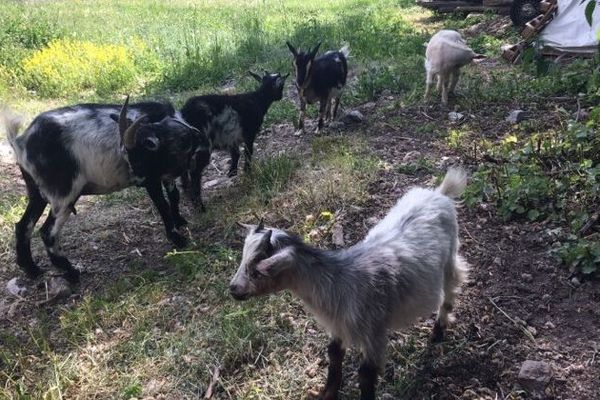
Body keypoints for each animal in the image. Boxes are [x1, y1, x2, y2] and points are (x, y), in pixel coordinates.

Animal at [3, 97, 207, 282]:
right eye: (138, 158)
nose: (138, 180)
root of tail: (21, 143)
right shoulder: (153, 179)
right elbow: (163, 205)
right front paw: (177, 238)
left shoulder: (166, 174)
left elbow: (174, 196)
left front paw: (180, 221)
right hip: (63, 194)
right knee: (48, 232)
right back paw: (71, 272)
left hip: (36, 193)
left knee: (23, 226)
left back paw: (32, 270)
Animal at [179, 71, 288, 209]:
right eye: (281, 86)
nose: (280, 97)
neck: (258, 99)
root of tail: (184, 114)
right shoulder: (249, 133)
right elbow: (248, 152)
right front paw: (247, 170)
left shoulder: (231, 137)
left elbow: (235, 154)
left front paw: (232, 173)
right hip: (203, 145)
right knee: (195, 173)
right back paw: (199, 204)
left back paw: (187, 193)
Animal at [230, 168, 468, 400]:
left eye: (256, 270)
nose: (233, 289)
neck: (340, 281)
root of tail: (439, 193)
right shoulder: (338, 324)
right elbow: (334, 355)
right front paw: (327, 394)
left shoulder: (374, 333)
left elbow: (366, 375)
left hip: (449, 259)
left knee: (452, 287)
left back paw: (439, 330)